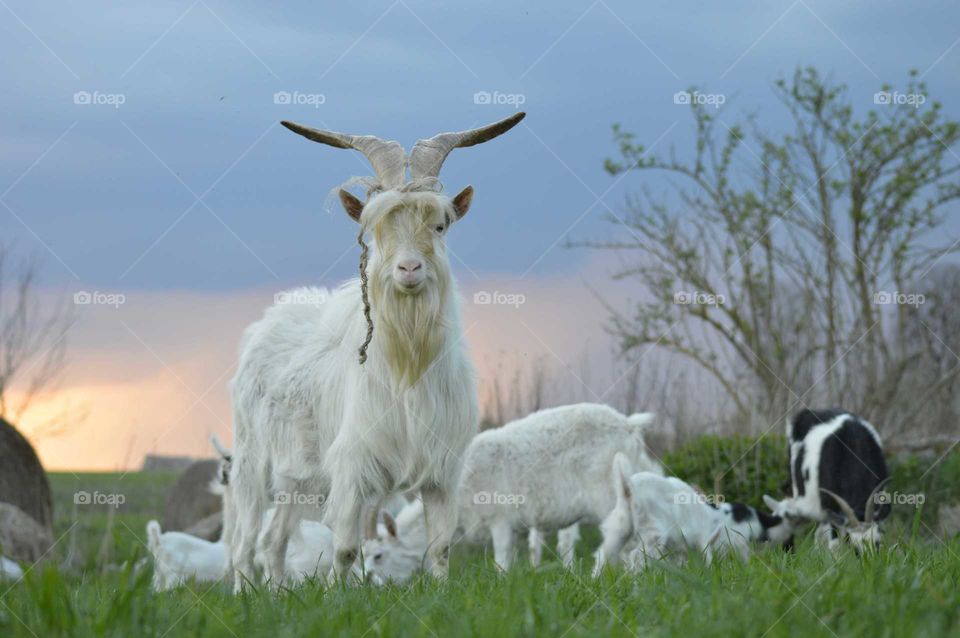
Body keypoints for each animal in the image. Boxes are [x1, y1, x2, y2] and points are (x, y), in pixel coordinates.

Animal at [228, 112, 524, 592]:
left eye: (440, 226)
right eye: (377, 229)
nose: (409, 268)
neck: (407, 367)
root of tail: (266, 323)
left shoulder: (443, 473)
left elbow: (440, 548)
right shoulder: (352, 467)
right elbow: (347, 549)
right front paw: (336, 597)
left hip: (299, 477)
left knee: (273, 541)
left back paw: (275, 594)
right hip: (253, 464)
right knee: (244, 543)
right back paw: (244, 595)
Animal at [364, 404, 664, 584]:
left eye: (378, 555)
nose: (370, 584)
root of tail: (630, 425)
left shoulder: (501, 520)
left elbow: (502, 560)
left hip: (611, 494)